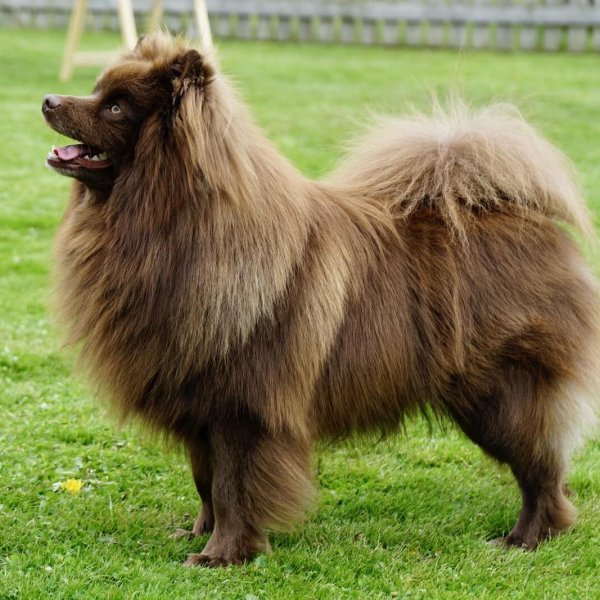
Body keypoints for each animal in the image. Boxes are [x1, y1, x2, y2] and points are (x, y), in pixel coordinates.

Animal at [42, 32, 599, 566]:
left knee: (541, 468)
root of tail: (519, 215)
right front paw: (200, 534)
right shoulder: (199, 406)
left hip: (499, 397)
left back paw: (527, 538)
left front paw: (222, 556)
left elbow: (232, 488)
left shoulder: (243, 409)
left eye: (116, 107)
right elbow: (206, 484)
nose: (49, 99)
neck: (172, 225)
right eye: (96, 89)